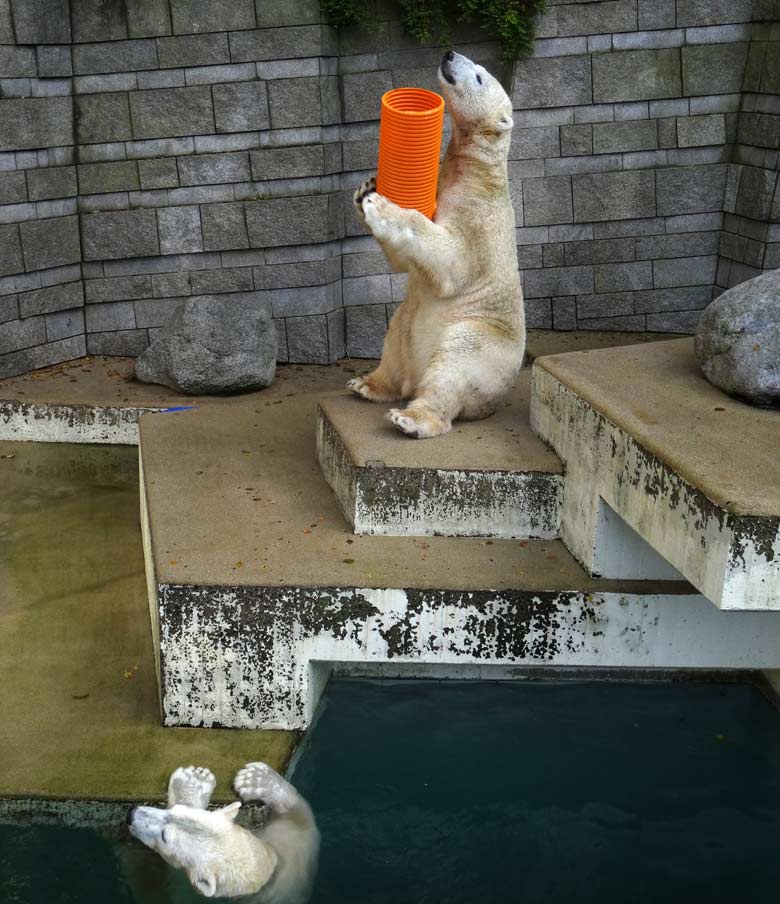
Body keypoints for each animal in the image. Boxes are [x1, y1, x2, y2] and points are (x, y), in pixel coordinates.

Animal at [128, 760, 320, 900]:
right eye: (177, 811)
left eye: (164, 837)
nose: (131, 814)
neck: (267, 877)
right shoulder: (295, 840)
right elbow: (297, 809)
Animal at [352, 49, 524, 438]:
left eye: (479, 76)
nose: (449, 53)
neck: (473, 173)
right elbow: (406, 263)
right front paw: (366, 189)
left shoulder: (478, 220)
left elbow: (452, 260)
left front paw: (382, 206)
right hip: (406, 324)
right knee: (396, 337)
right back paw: (368, 383)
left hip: (478, 336)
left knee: (452, 366)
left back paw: (412, 418)